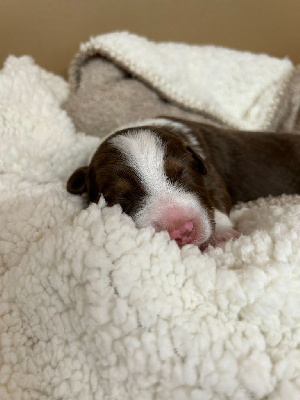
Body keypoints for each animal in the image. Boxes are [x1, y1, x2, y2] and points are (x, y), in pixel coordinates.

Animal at [67, 117, 300, 250]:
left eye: (182, 174)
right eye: (121, 196)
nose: (181, 230)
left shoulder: (210, 172)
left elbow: (217, 200)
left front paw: (221, 235)